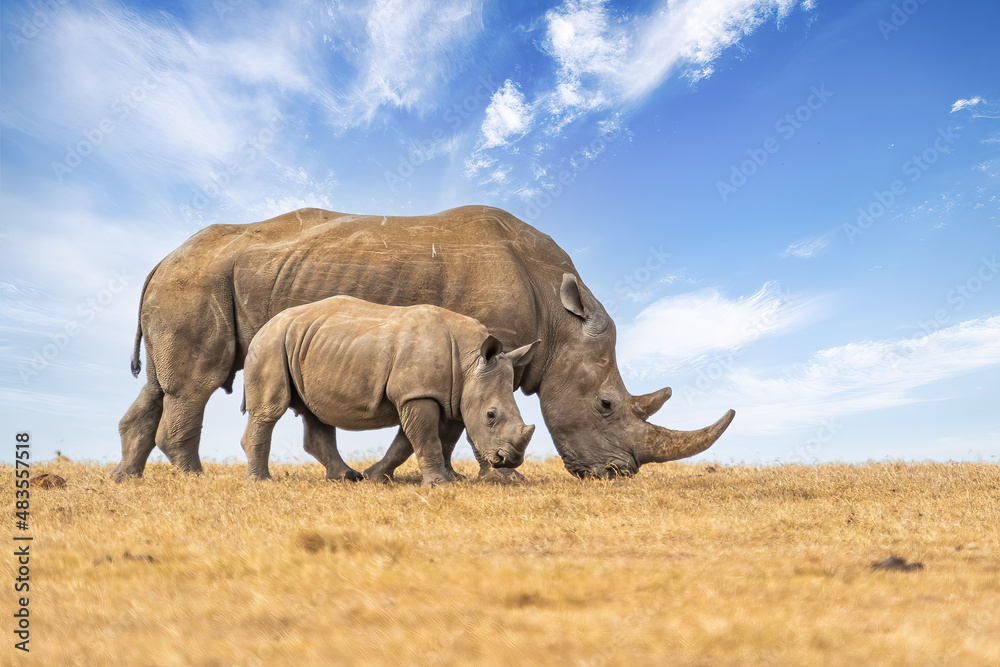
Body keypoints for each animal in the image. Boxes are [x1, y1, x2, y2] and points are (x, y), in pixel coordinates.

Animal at [240, 295, 537, 485]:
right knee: (270, 410)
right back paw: (262, 482)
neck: (470, 361)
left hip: (308, 344)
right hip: (271, 343)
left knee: (317, 413)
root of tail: (267, 323)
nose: (510, 460)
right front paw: (439, 485)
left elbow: (409, 443)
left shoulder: (446, 396)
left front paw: (375, 477)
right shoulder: (418, 394)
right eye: (491, 416)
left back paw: (347, 478)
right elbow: (426, 439)